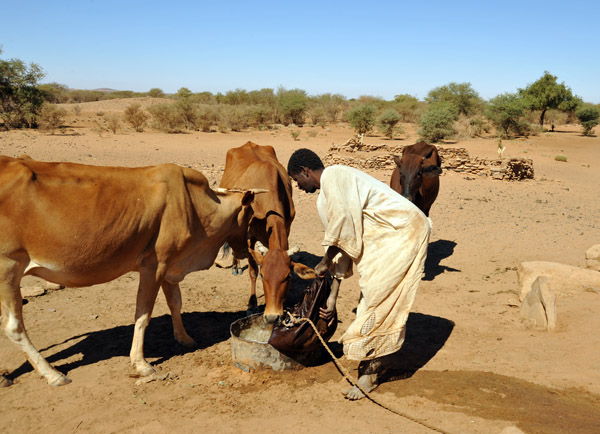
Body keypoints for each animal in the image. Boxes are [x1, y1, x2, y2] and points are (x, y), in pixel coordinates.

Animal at [0, 155, 260, 386]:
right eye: (250, 214)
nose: (248, 247)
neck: (196, 205)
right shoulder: (154, 265)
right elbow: (143, 315)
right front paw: (141, 363)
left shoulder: (170, 264)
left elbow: (175, 302)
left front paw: (184, 338)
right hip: (9, 269)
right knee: (14, 327)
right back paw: (52, 374)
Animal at [219, 141, 314, 324]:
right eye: (263, 276)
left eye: (288, 277)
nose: (272, 317)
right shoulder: (249, 237)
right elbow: (252, 271)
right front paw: (251, 305)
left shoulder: (287, 227)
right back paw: (235, 266)